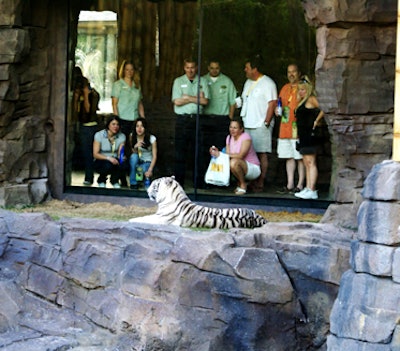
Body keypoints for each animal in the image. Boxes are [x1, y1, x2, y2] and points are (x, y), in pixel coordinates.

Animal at [128, 177, 268, 230]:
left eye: (154, 185)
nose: (147, 190)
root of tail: (261, 218)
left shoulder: (161, 218)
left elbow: (144, 218)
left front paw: (130, 220)